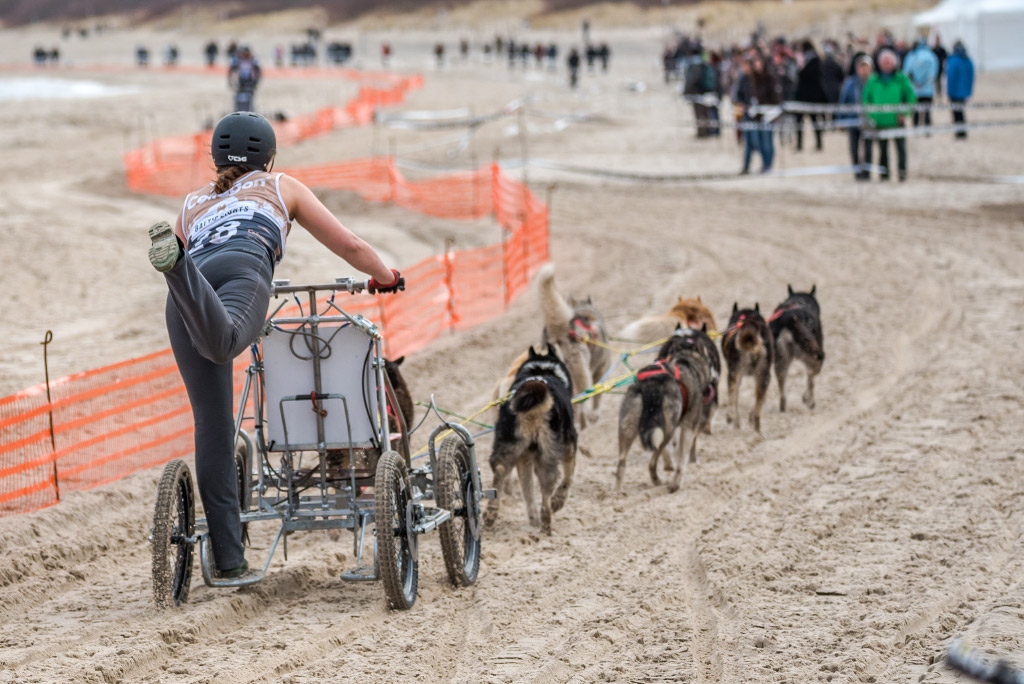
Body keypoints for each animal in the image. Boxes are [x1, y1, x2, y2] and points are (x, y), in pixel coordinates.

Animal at [484, 344, 577, 535]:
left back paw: (491, 512)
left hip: (508, 443)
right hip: (549, 450)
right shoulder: (569, 444)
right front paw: (558, 501)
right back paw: (546, 523)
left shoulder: (524, 458)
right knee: (548, 482)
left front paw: (533, 518)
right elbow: (567, 478)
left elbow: (527, 490)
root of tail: (535, 386)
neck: (542, 370)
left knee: (500, 468)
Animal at [615, 327, 712, 493]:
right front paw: (676, 483)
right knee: (652, 463)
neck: (686, 360)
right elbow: (681, 461)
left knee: (621, 463)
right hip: (667, 430)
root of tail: (651, 383)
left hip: (628, 429)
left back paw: (617, 494)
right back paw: (662, 483)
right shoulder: (688, 427)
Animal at [721, 303, 774, 433]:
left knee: (733, 395)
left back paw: (732, 417)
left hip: (735, 374)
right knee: (758, 404)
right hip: (763, 376)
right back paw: (756, 428)